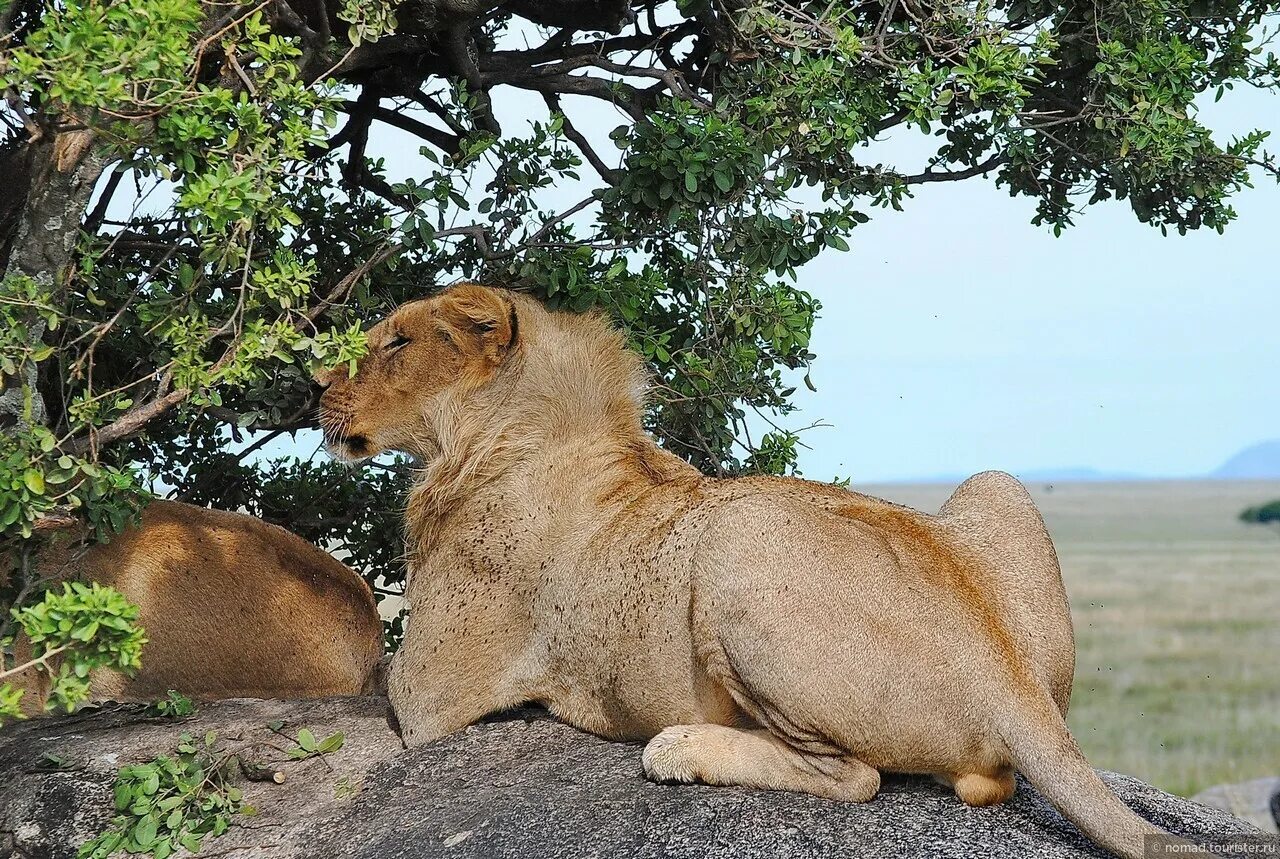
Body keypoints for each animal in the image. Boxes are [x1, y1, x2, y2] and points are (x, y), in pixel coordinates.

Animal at [317, 284, 1198, 859]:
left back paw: (681, 747)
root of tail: (1012, 684)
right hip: (995, 483)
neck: (497, 436)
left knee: (856, 776)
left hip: (736, 535)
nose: (316, 385)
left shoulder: (432, 695)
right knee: (991, 782)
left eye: (395, 343)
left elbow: (370, 673)